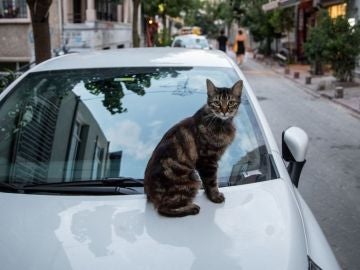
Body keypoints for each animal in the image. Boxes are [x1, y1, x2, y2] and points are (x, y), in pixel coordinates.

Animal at [145, 78, 243, 217]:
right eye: (217, 103)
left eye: (231, 102)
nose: (224, 111)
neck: (221, 123)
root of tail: (149, 193)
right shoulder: (207, 160)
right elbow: (211, 181)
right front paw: (215, 197)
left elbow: (208, 183)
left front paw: (209, 195)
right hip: (191, 180)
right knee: (163, 209)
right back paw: (192, 208)